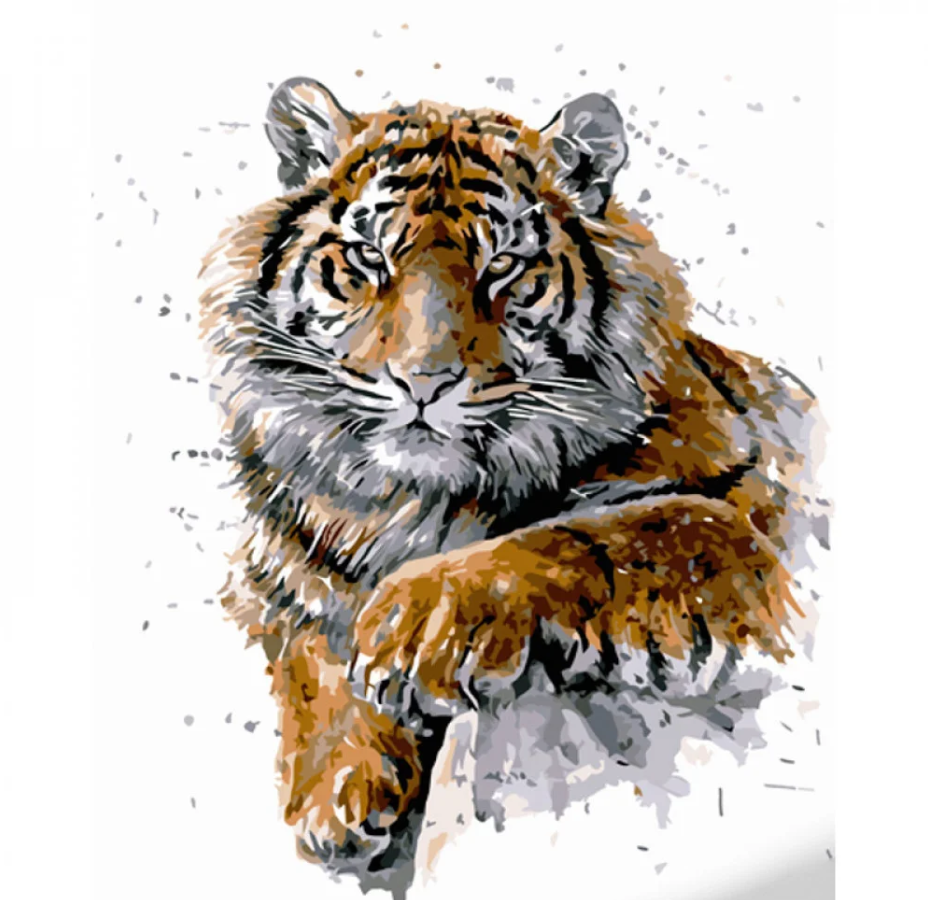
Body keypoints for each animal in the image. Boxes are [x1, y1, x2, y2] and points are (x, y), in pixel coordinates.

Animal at [199, 76, 822, 892]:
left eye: (501, 266)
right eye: (368, 258)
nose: (423, 382)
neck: (413, 505)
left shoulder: (738, 525)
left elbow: (584, 536)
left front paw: (414, 623)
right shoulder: (275, 569)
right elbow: (306, 639)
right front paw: (338, 786)